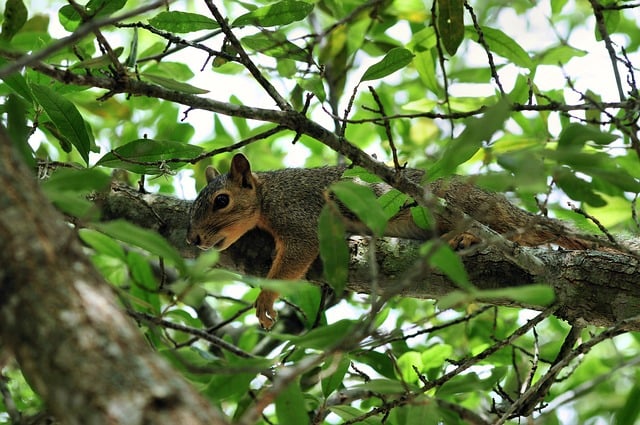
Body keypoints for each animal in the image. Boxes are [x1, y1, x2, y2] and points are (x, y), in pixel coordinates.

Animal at [187, 153, 604, 329]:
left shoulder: (301, 215)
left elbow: (297, 255)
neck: (267, 195)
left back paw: (467, 234)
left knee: (501, 232)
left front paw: (265, 299)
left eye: (221, 201)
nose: (192, 237)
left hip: (455, 203)